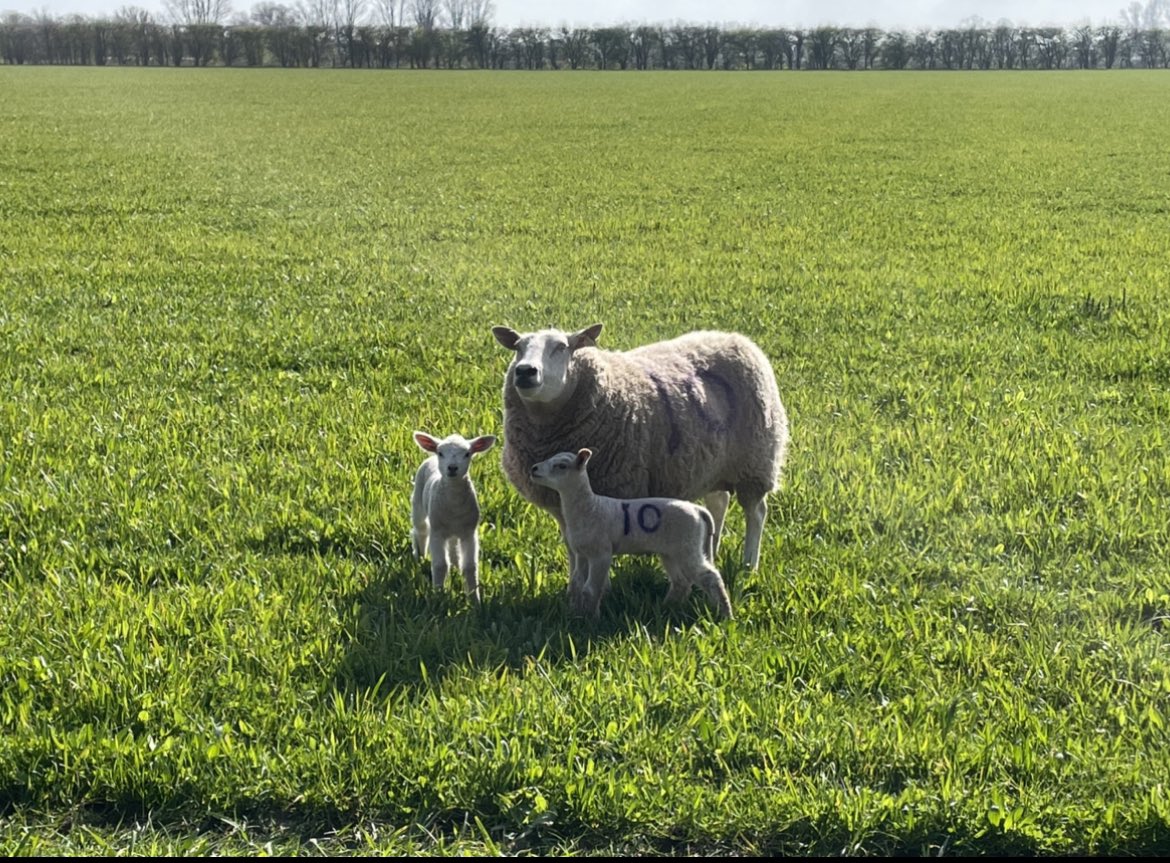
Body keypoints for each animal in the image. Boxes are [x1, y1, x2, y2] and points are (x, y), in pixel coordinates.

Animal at [410, 431, 496, 604]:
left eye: (467, 453)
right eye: (441, 453)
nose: (452, 467)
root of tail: (430, 458)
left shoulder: (469, 532)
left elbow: (470, 567)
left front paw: (475, 601)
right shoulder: (437, 532)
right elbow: (440, 565)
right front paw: (437, 596)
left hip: (455, 532)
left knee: (453, 547)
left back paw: (456, 566)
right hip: (418, 502)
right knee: (420, 530)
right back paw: (420, 557)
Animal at [491, 323, 788, 574]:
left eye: (562, 347)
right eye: (518, 347)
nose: (525, 371)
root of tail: (734, 338)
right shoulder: (560, 503)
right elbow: (573, 546)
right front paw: (573, 580)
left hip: (755, 461)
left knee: (756, 512)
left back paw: (749, 565)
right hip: (713, 463)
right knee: (718, 502)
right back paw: (711, 552)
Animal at [530, 448, 733, 619]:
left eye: (561, 466)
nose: (533, 468)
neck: (590, 506)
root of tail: (698, 509)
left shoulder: (601, 553)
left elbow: (591, 589)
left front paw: (591, 620)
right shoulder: (581, 553)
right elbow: (576, 583)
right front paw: (574, 613)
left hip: (687, 546)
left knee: (710, 577)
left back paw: (725, 615)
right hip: (671, 551)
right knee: (681, 582)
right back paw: (666, 607)